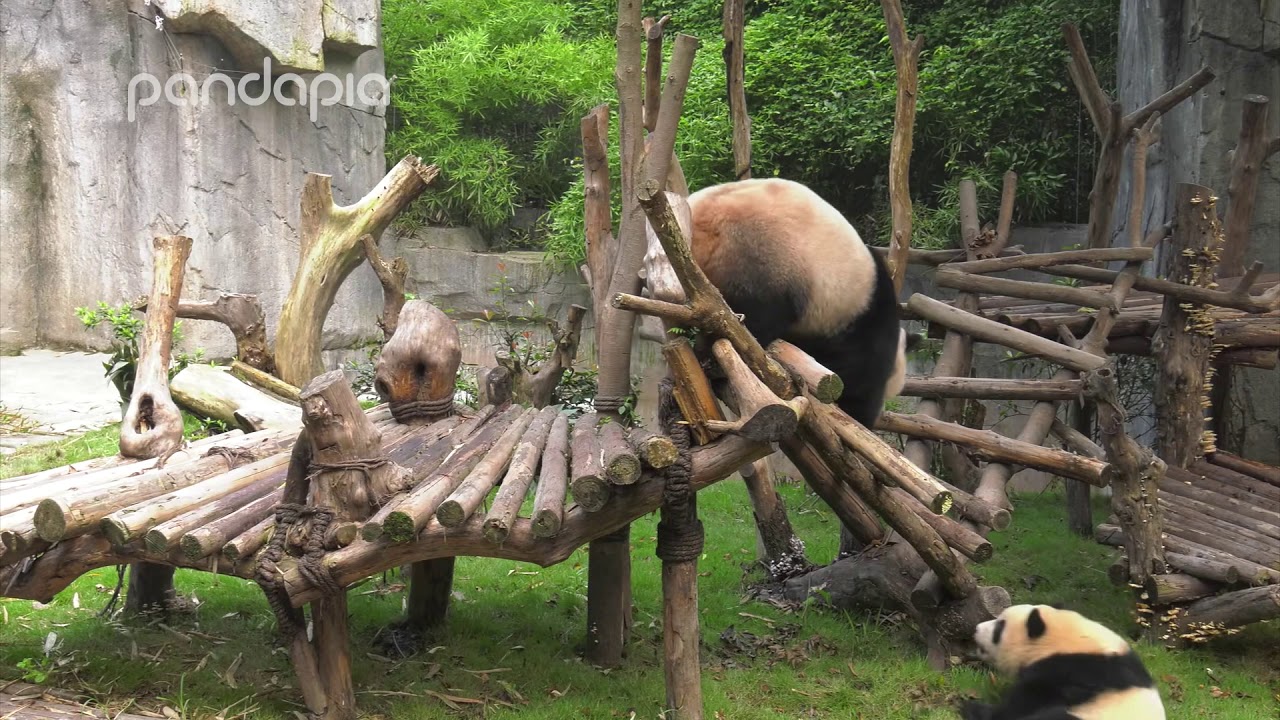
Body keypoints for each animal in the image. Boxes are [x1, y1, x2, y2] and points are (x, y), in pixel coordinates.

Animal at [685, 177, 910, 428]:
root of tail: (699, 216)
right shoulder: (863, 327)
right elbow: (858, 382)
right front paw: (859, 417)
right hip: (763, 257)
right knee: (753, 317)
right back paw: (715, 361)